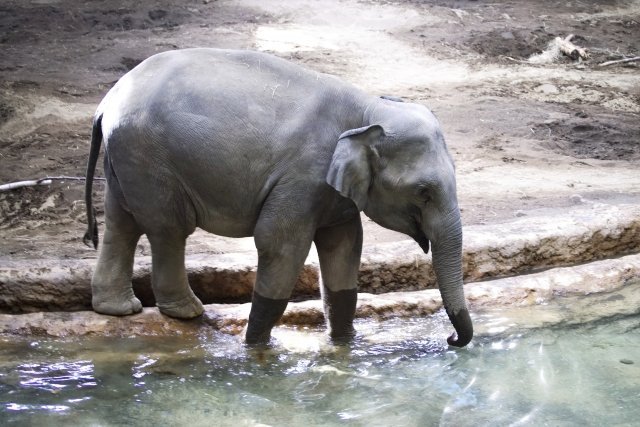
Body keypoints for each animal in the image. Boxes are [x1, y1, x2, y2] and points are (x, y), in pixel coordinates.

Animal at [84, 47, 470, 348]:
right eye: (423, 192)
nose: (451, 339)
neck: (368, 109)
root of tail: (107, 102)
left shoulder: (333, 192)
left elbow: (345, 245)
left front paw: (344, 344)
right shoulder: (302, 176)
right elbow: (280, 243)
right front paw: (255, 348)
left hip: (126, 159)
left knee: (122, 220)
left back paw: (119, 309)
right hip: (149, 157)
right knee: (168, 228)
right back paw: (187, 311)